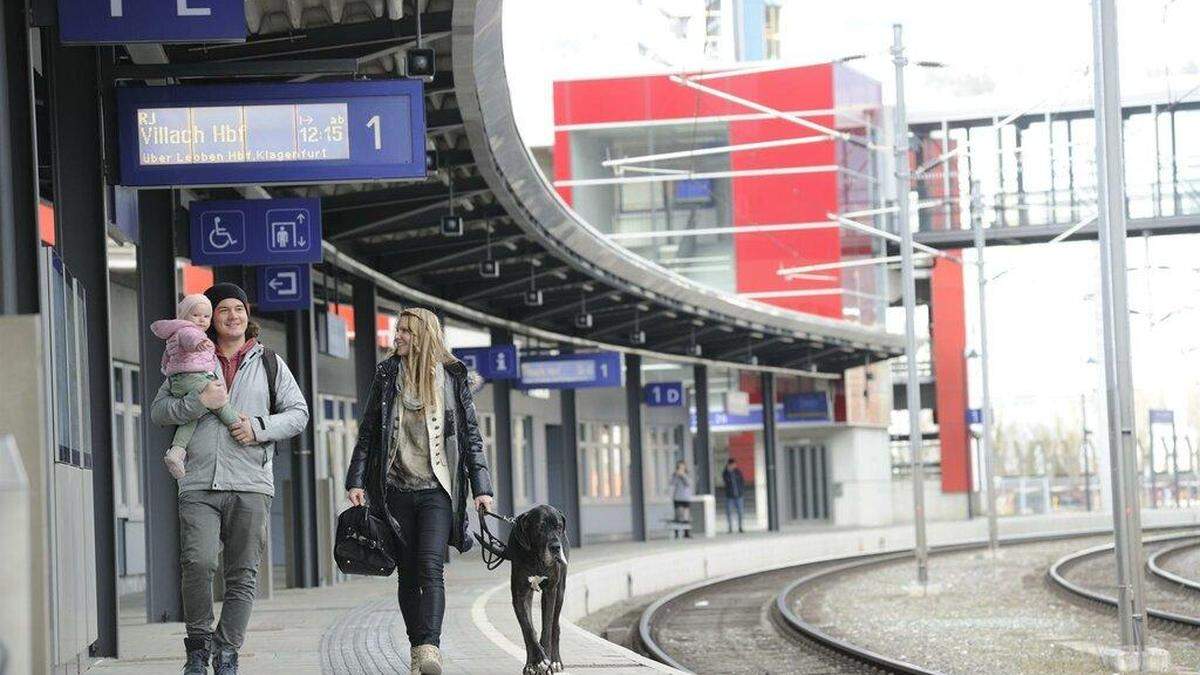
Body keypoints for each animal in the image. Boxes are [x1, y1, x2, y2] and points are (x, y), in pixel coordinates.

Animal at [475, 502, 568, 667]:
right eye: (540, 527)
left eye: (558, 526)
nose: (556, 547)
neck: (535, 557)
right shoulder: (519, 595)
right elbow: (528, 630)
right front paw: (537, 661)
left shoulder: (550, 591)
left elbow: (547, 627)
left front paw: (546, 658)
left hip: (560, 592)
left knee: (555, 626)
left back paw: (555, 660)